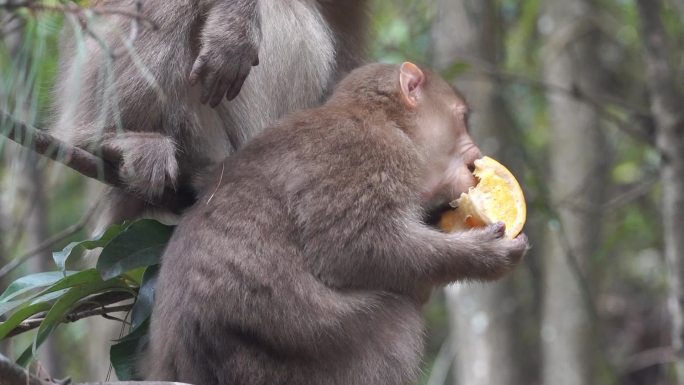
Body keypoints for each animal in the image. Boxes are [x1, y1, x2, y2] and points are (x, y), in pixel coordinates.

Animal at [148, 63, 528, 384]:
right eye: (462, 119)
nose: (476, 153)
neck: (384, 120)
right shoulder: (370, 152)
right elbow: (351, 250)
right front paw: (481, 255)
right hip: (290, 364)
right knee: (397, 320)